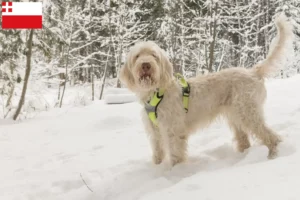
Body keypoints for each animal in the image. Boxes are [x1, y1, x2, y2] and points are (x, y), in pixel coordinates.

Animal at [119, 14, 292, 166]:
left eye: (154, 55)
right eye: (137, 56)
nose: (145, 65)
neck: (156, 92)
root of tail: (253, 71)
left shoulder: (173, 130)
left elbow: (175, 154)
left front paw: (175, 173)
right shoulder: (155, 132)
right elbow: (158, 152)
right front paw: (157, 168)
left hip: (248, 112)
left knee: (270, 135)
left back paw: (273, 154)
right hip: (236, 115)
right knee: (244, 139)